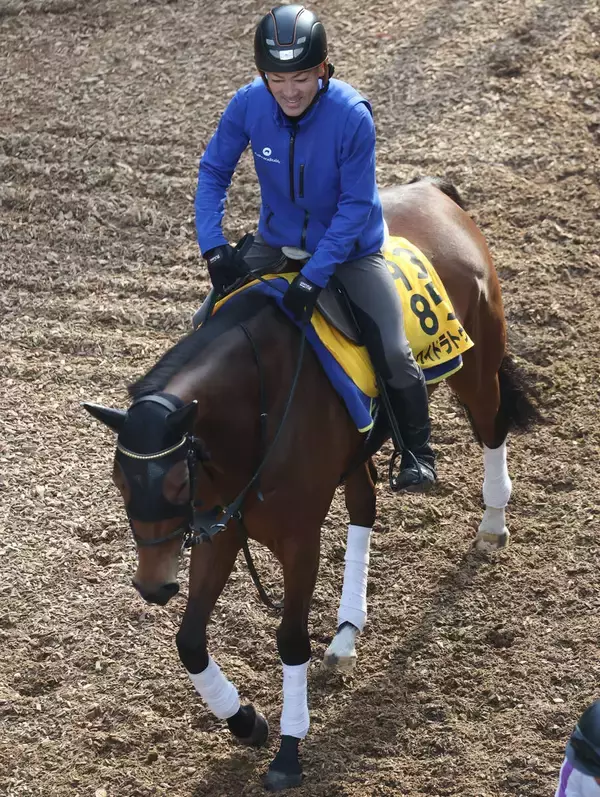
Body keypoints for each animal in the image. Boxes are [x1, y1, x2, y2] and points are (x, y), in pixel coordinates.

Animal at [83, 177, 541, 791]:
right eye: (119, 483)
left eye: (177, 485)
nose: (153, 587)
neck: (254, 405)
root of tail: (433, 189)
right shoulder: (222, 531)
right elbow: (190, 641)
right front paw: (245, 721)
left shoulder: (299, 540)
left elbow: (290, 641)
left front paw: (288, 749)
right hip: (355, 454)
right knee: (365, 508)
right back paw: (347, 634)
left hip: (476, 364)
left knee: (490, 426)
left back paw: (492, 524)